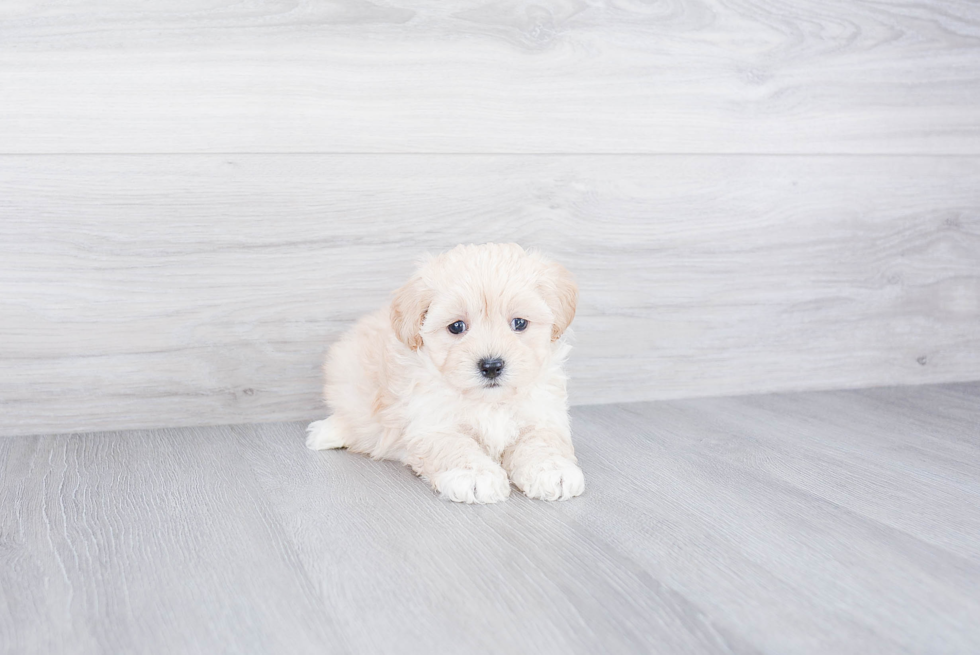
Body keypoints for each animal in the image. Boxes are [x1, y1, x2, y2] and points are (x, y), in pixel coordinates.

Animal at [306, 243, 580, 504]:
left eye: (520, 323)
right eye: (456, 327)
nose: (491, 366)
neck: (490, 402)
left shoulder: (542, 414)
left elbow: (542, 443)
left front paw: (553, 470)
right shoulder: (431, 424)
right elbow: (454, 446)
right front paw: (475, 476)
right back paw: (326, 432)